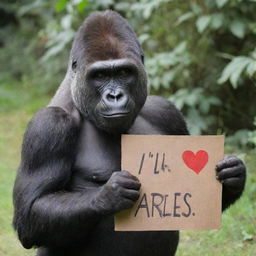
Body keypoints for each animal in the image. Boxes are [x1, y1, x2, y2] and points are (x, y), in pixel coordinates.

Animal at [13, 10, 246, 256]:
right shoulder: (48, 126)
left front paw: (234, 174)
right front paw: (110, 194)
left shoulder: (166, 111)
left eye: (124, 72)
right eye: (100, 75)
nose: (115, 96)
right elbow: (31, 213)